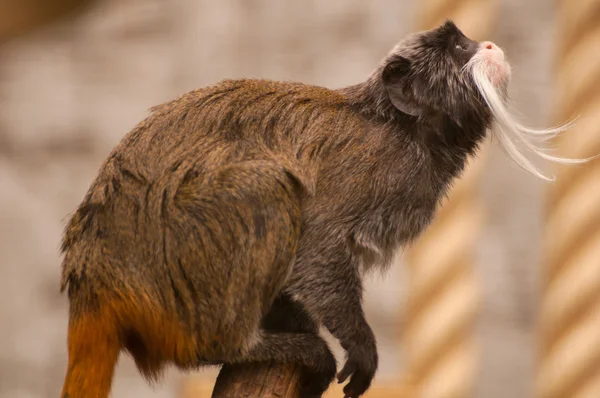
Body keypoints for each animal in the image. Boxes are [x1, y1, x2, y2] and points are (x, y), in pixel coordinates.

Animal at [58, 21, 580, 398]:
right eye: (458, 47)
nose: (488, 44)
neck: (404, 128)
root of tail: (93, 280)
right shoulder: (371, 167)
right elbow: (317, 243)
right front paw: (360, 344)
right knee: (265, 187)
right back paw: (242, 344)